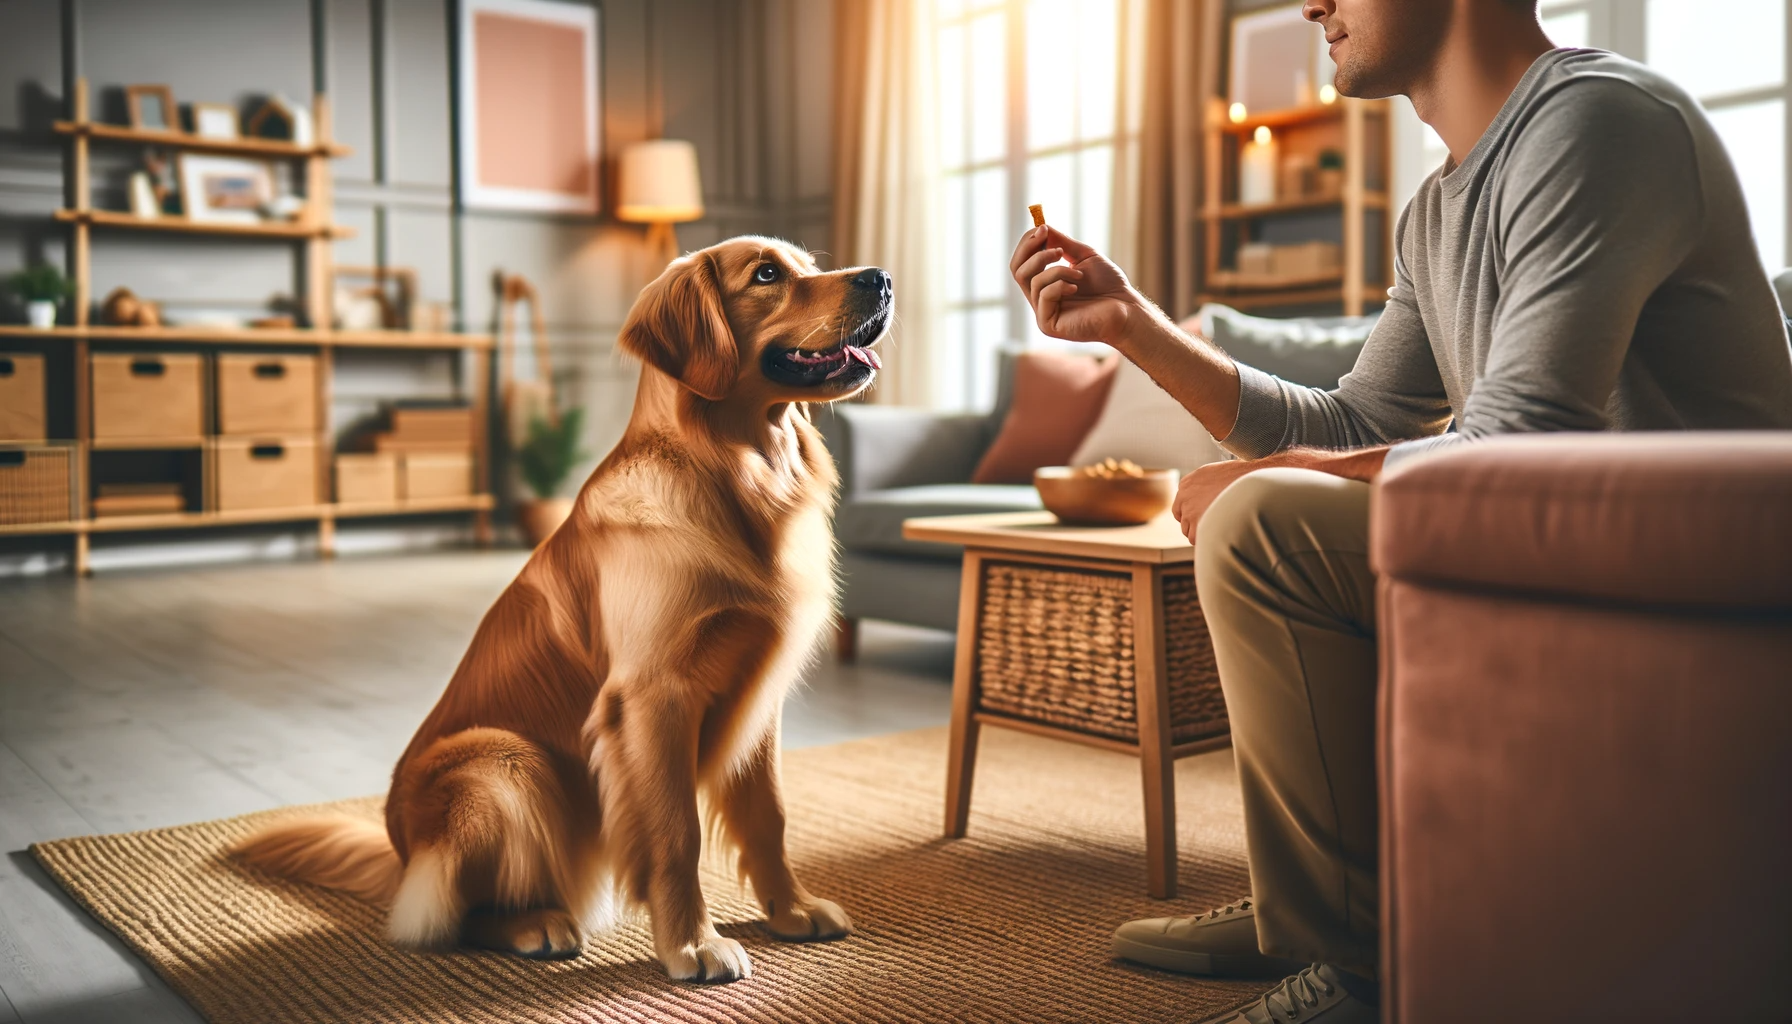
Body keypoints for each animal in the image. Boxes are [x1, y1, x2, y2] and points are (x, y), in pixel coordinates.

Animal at [231, 236, 888, 982]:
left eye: (812, 264)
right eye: (769, 274)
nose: (881, 278)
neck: (738, 475)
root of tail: (399, 853)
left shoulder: (759, 696)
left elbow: (770, 817)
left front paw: (791, 910)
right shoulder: (652, 697)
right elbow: (677, 833)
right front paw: (692, 944)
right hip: (504, 762)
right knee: (445, 915)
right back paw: (535, 924)